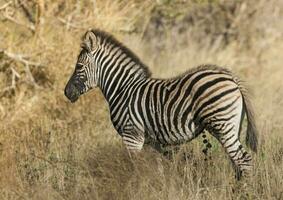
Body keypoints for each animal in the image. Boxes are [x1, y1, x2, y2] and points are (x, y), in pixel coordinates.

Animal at [65, 28, 260, 180]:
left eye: (79, 66)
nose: (66, 93)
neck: (123, 89)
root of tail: (231, 77)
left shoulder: (131, 135)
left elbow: (133, 169)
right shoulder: (152, 141)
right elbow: (157, 170)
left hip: (222, 125)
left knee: (244, 160)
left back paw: (245, 191)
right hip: (231, 126)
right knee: (237, 162)